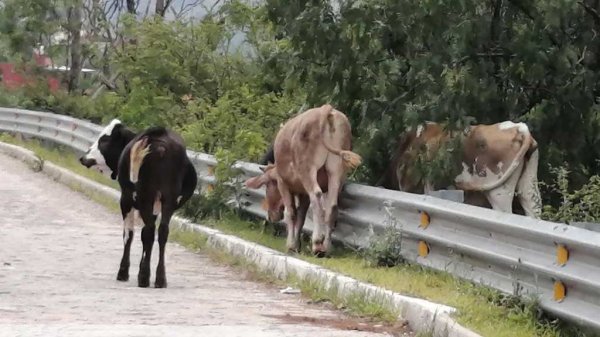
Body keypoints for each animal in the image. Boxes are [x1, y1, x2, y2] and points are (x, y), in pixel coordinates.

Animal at [79, 119, 197, 288]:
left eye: (104, 140)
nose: (83, 157)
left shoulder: (126, 200)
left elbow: (129, 234)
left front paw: (123, 272)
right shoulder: (155, 207)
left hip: (144, 196)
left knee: (149, 231)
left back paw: (144, 277)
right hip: (167, 199)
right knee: (162, 231)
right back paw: (160, 279)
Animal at [245, 104, 360, 255]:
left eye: (268, 186)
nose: (270, 216)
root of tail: (326, 109)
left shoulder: (283, 183)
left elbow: (291, 213)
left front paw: (291, 244)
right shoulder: (303, 193)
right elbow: (301, 216)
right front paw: (296, 244)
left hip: (308, 169)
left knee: (316, 195)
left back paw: (317, 243)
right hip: (337, 171)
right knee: (332, 205)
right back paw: (326, 247)